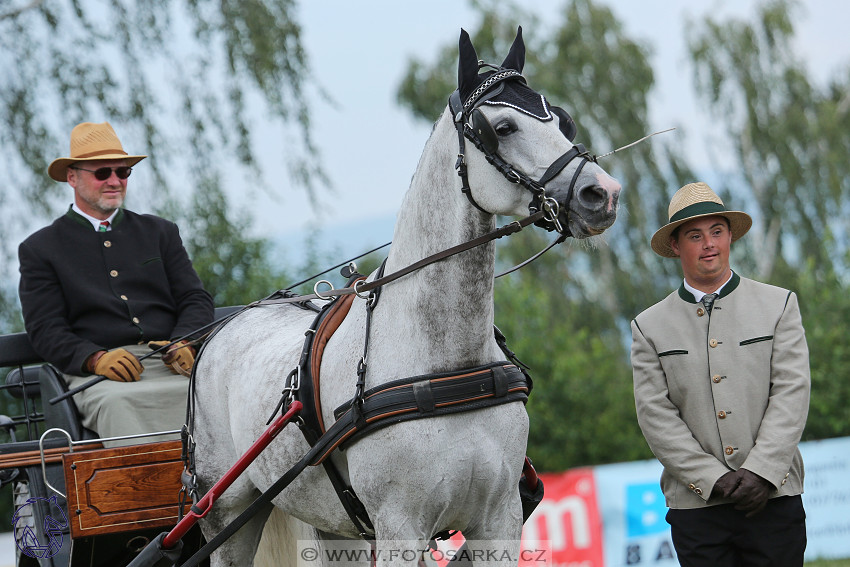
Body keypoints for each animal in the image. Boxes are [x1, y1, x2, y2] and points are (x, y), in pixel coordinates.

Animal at [190, 27, 616, 567]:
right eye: (501, 127)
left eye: (562, 119)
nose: (601, 194)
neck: (445, 361)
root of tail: (224, 327)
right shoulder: (401, 529)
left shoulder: (498, 521)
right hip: (226, 515)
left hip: (333, 524)